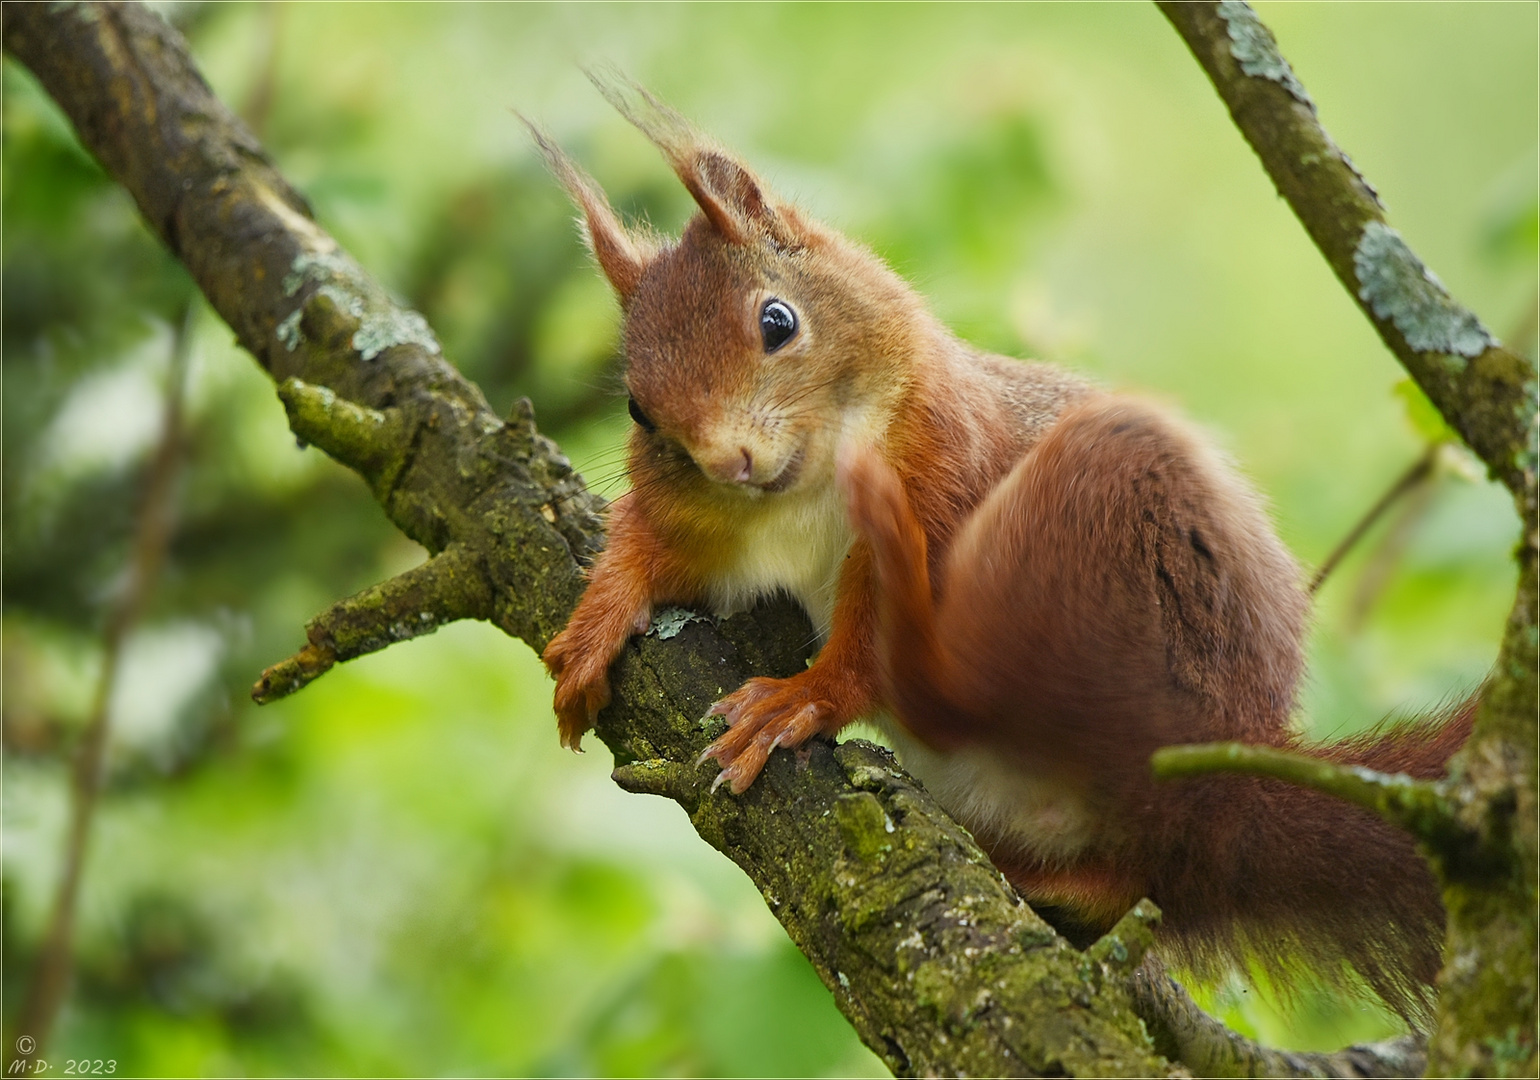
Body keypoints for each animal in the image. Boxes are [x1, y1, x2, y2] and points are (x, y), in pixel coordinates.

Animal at [535, 84, 1472, 1016]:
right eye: (637, 409)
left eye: (777, 320)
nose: (730, 460)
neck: (798, 500)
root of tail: (1213, 808)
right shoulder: (724, 538)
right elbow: (658, 551)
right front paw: (599, 615)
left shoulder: (951, 467)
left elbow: (862, 639)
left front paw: (806, 698)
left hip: (1114, 550)